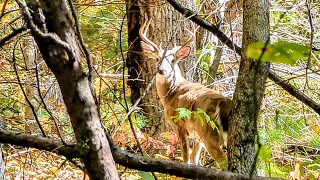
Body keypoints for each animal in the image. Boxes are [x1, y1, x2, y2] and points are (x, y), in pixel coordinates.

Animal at [140, 19, 232, 167]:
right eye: (157, 59)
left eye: (172, 60)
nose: (161, 70)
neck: (172, 92)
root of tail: (223, 101)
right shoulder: (197, 137)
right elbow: (195, 158)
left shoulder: (180, 125)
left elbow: (185, 157)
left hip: (209, 132)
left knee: (223, 161)